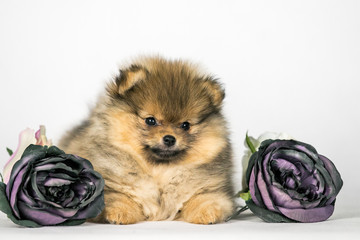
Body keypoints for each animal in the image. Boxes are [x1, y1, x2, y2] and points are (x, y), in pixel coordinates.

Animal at [59, 56, 233, 225]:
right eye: (150, 120)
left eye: (185, 125)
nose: (170, 138)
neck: (159, 171)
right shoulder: (106, 187)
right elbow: (118, 197)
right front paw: (120, 212)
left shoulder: (212, 190)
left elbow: (205, 199)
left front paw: (207, 212)